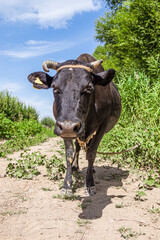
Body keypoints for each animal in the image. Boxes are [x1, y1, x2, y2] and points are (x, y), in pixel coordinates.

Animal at [27, 54, 120, 195]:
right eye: (54, 87)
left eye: (89, 87)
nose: (68, 126)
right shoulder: (64, 128)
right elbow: (69, 154)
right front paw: (67, 184)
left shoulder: (102, 126)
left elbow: (91, 153)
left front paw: (90, 183)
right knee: (78, 146)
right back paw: (76, 167)